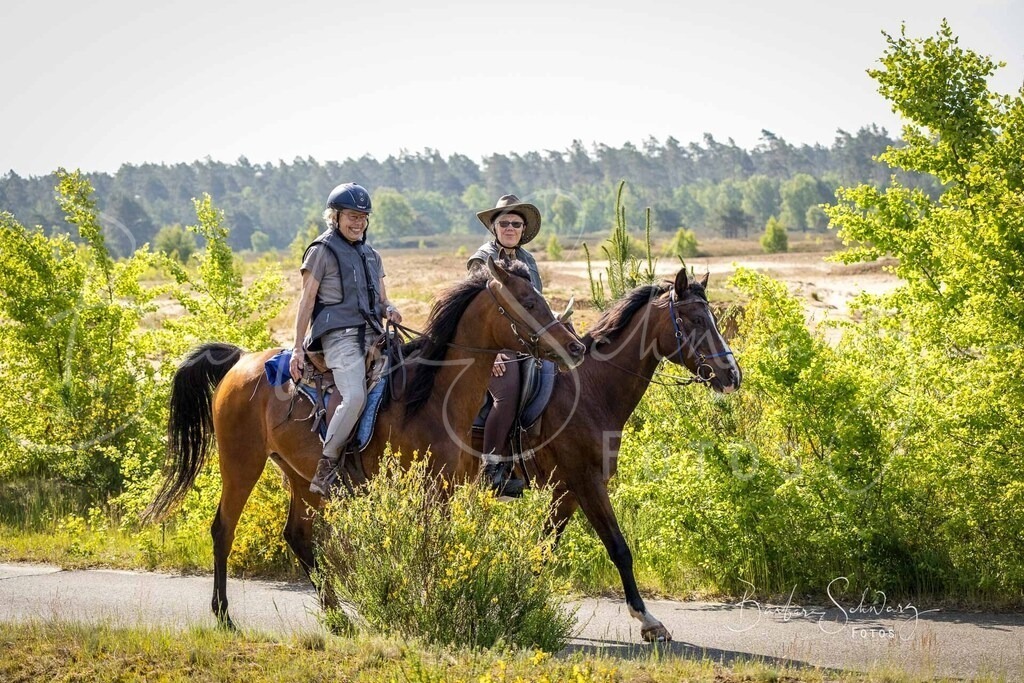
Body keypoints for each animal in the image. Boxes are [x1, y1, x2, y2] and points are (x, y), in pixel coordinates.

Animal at [143, 257, 586, 628]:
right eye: (528, 301)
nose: (575, 347)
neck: (432, 397)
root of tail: (239, 362)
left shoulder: (449, 489)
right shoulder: (428, 493)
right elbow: (428, 549)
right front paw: (430, 607)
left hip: (303, 478)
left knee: (297, 535)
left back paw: (337, 615)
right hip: (241, 464)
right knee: (223, 529)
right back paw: (224, 615)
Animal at [510, 266, 741, 642]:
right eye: (695, 319)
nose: (733, 375)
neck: (589, 390)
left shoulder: (566, 493)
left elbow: (544, 549)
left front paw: (523, 605)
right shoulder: (587, 483)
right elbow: (619, 548)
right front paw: (648, 620)